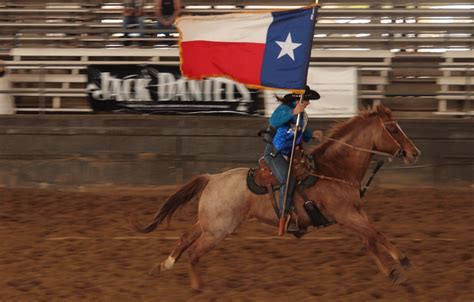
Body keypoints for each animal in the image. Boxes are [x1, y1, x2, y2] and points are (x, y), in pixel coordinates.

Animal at [131, 104, 420, 290]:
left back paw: (164, 266)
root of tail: (212, 178)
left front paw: (391, 271)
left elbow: (370, 239)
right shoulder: (346, 215)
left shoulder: (355, 213)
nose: (414, 153)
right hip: (218, 230)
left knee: (184, 239)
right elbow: (375, 234)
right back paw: (198, 288)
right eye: (394, 129)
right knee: (194, 253)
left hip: (209, 223)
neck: (334, 170)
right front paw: (402, 260)